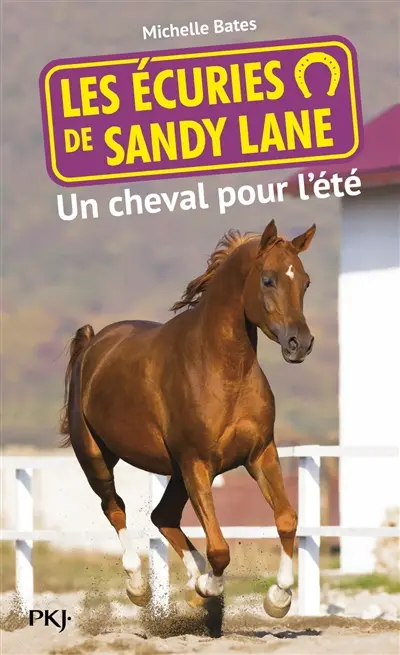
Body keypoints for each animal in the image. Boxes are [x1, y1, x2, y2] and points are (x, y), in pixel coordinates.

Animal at [60, 219, 316, 619]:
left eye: (305, 282)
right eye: (268, 279)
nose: (299, 344)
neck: (222, 370)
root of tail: (92, 344)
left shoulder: (260, 453)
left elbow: (287, 519)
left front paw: (278, 598)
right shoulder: (197, 463)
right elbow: (220, 549)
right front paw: (210, 586)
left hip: (176, 472)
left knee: (162, 516)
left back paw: (193, 580)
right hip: (97, 458)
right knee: (115, 508)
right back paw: (139, 587)